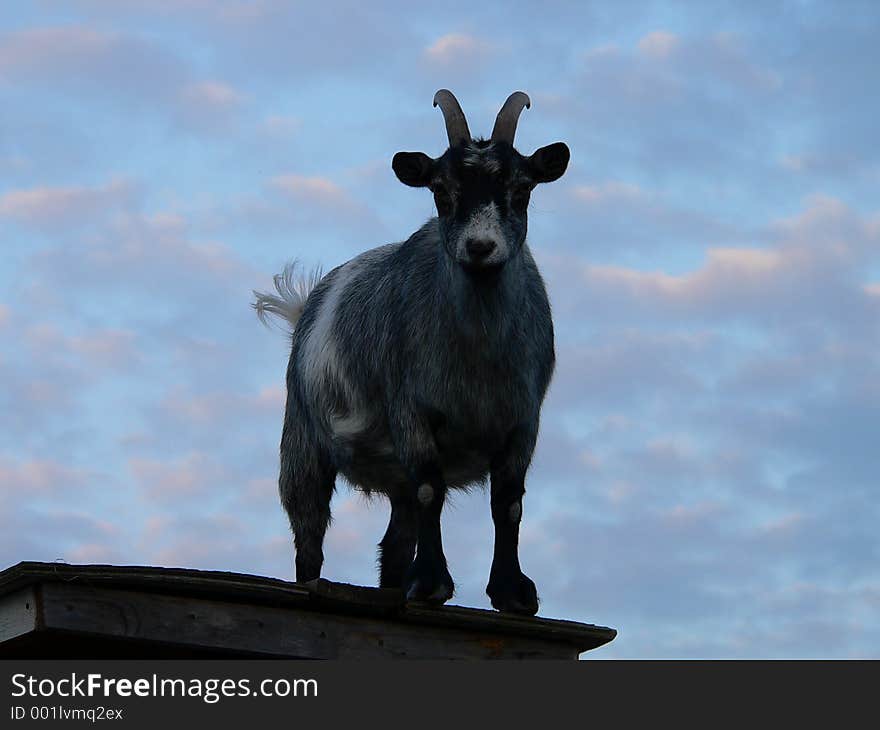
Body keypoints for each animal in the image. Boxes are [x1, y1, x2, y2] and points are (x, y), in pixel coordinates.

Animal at [254, 91, 572, 616]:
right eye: (441, 191)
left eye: (522, 188)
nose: (479, 248)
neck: (477, 363)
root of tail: (304, 306)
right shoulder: (412, 412)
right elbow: (430, 489)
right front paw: (432, 585)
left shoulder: (523, 420)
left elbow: (508, 502)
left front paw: (513, 591)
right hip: (301, 442)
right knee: (309, 533)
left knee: (395, 543)